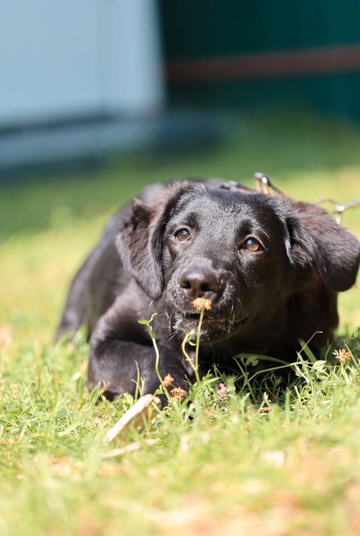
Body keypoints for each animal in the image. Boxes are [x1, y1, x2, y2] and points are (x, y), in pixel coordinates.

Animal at [54, 179, 358, 398]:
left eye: (252, 244)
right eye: (182, 234)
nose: (197, 283)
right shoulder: (106, 342)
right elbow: (153, 356)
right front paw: (170, 396)